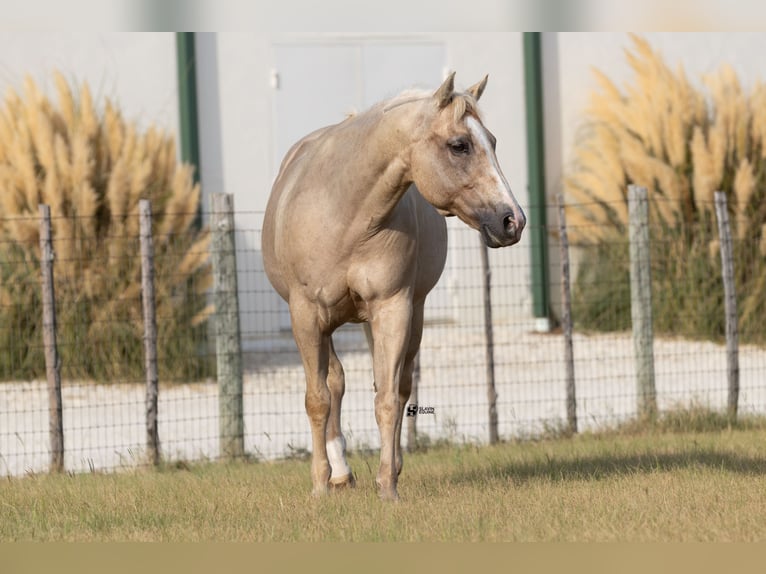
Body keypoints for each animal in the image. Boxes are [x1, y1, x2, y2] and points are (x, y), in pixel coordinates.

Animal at [262, 72, 526, 501]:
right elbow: (318, 398)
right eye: (460, 144)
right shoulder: (306, 314)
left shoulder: (392, 308)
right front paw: (319, 486)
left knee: (399, 387)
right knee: (335, 383)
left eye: (493, 141)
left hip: (404, 315)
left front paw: (387, 486)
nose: (512, 220)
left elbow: (386, 398)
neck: (345, 212)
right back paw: (339, 472)